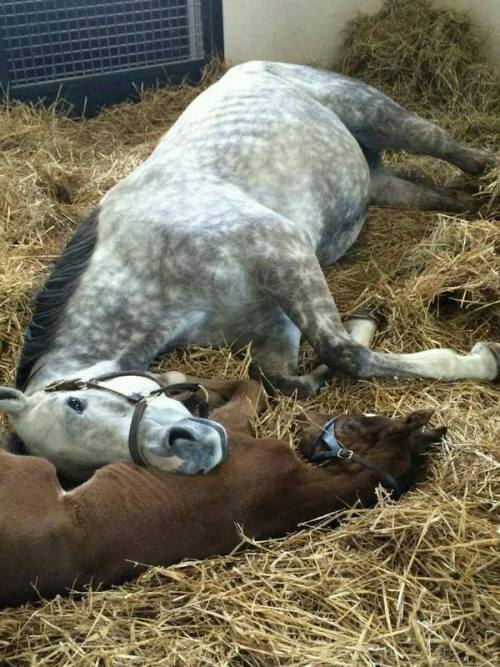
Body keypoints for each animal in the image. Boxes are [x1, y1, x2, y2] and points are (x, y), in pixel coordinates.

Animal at [0, 64, 496, 480]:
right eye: (88, 471)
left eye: (77, 402)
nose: (192, 450)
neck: (155, 269)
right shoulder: (271, 328)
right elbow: (284, 378)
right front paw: (361, 328)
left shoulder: (285, 251)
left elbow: (342, 352)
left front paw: (479, 361)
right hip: (379, 184)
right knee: (433, 194)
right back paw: (472, 204)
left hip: (379, 116)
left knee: (449, 146)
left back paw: (487, 170)